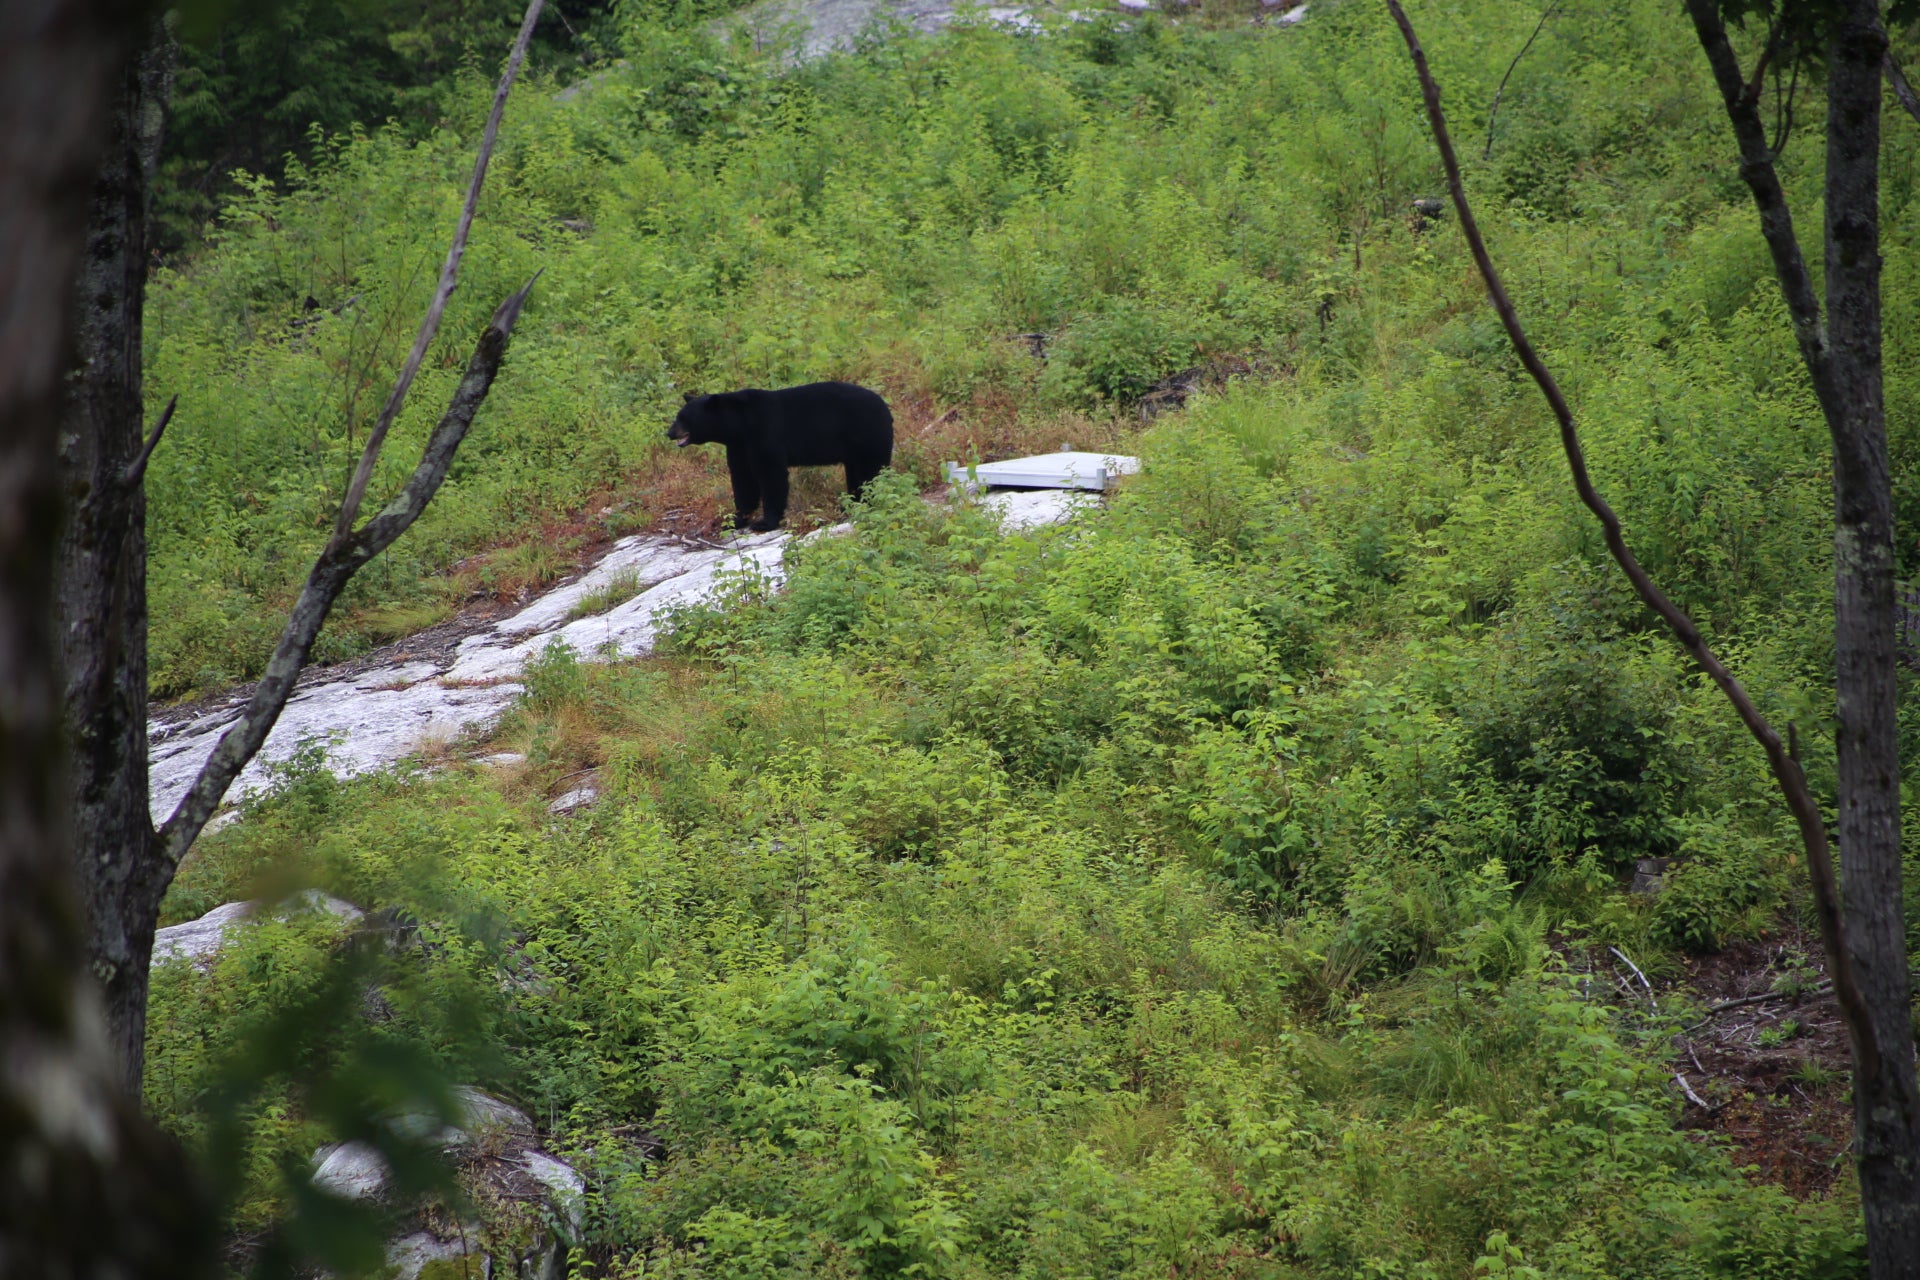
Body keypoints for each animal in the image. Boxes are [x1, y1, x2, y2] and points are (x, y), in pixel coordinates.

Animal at [666, 380, 895, 532]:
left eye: (683, 418)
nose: (669, 432)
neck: (740, 424)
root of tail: (886, 407)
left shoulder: (764, 433)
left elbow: (770, 474)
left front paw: (764, 523)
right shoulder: (739, 445)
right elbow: (742, 477)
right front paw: (734, 519)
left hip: (866, 433)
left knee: (871, 471)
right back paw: (850, 504)